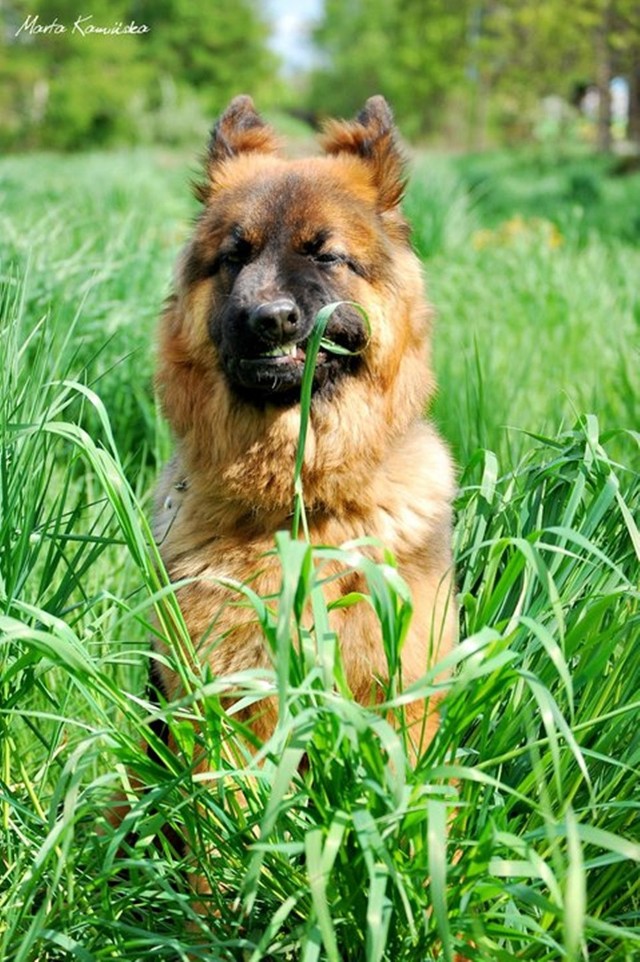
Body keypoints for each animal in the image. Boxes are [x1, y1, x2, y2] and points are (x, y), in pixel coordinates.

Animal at [152, 92, 458, 752]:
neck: (296, 502)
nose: (269, 318)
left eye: (327, 255)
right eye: (235, 257)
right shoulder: (227, 702)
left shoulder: (404, 697)